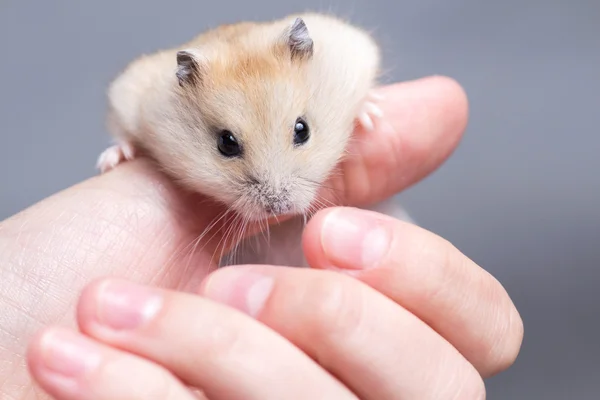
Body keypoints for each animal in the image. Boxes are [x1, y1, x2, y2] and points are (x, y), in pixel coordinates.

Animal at [97, 13, 412, 266]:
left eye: (302, 130)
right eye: (226, 143)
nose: (279, 208)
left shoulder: (354, 49)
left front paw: (372, 114)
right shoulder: (130, 95)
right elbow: (123, 134)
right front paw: (111, 161)